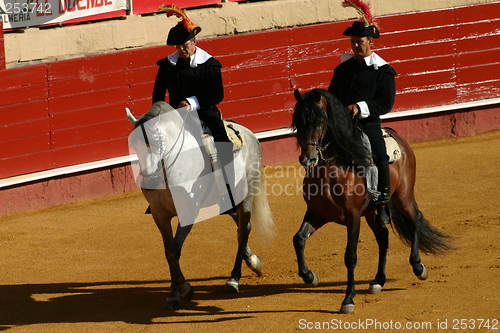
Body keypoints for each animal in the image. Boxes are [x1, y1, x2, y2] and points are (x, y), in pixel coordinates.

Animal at [125, 101, 274, 308]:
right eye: (134, 145)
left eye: (156, 141)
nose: (150, 181)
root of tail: (249, 133)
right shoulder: (159, 214)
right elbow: (168, 252)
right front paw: (174, 295)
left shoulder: (187, 213)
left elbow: (174, 251)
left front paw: (184, 290)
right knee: (239, 225)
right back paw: (253, 262)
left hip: (246, 192)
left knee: (244, 228)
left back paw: (234, 279)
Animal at [292, 88, 452, 312]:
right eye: (298, 120)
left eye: (319, 120)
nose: (307, 159)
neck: (331, 170)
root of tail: (396, 135)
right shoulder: (318, 213)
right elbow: (298, 239)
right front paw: (309, 276)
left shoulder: (353, 216)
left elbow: (350, 256)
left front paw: (348, 299)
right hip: (370, 212)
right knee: (383, 237)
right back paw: (378, 281)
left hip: (403, 196)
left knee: (415, 220)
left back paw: (418, 267)